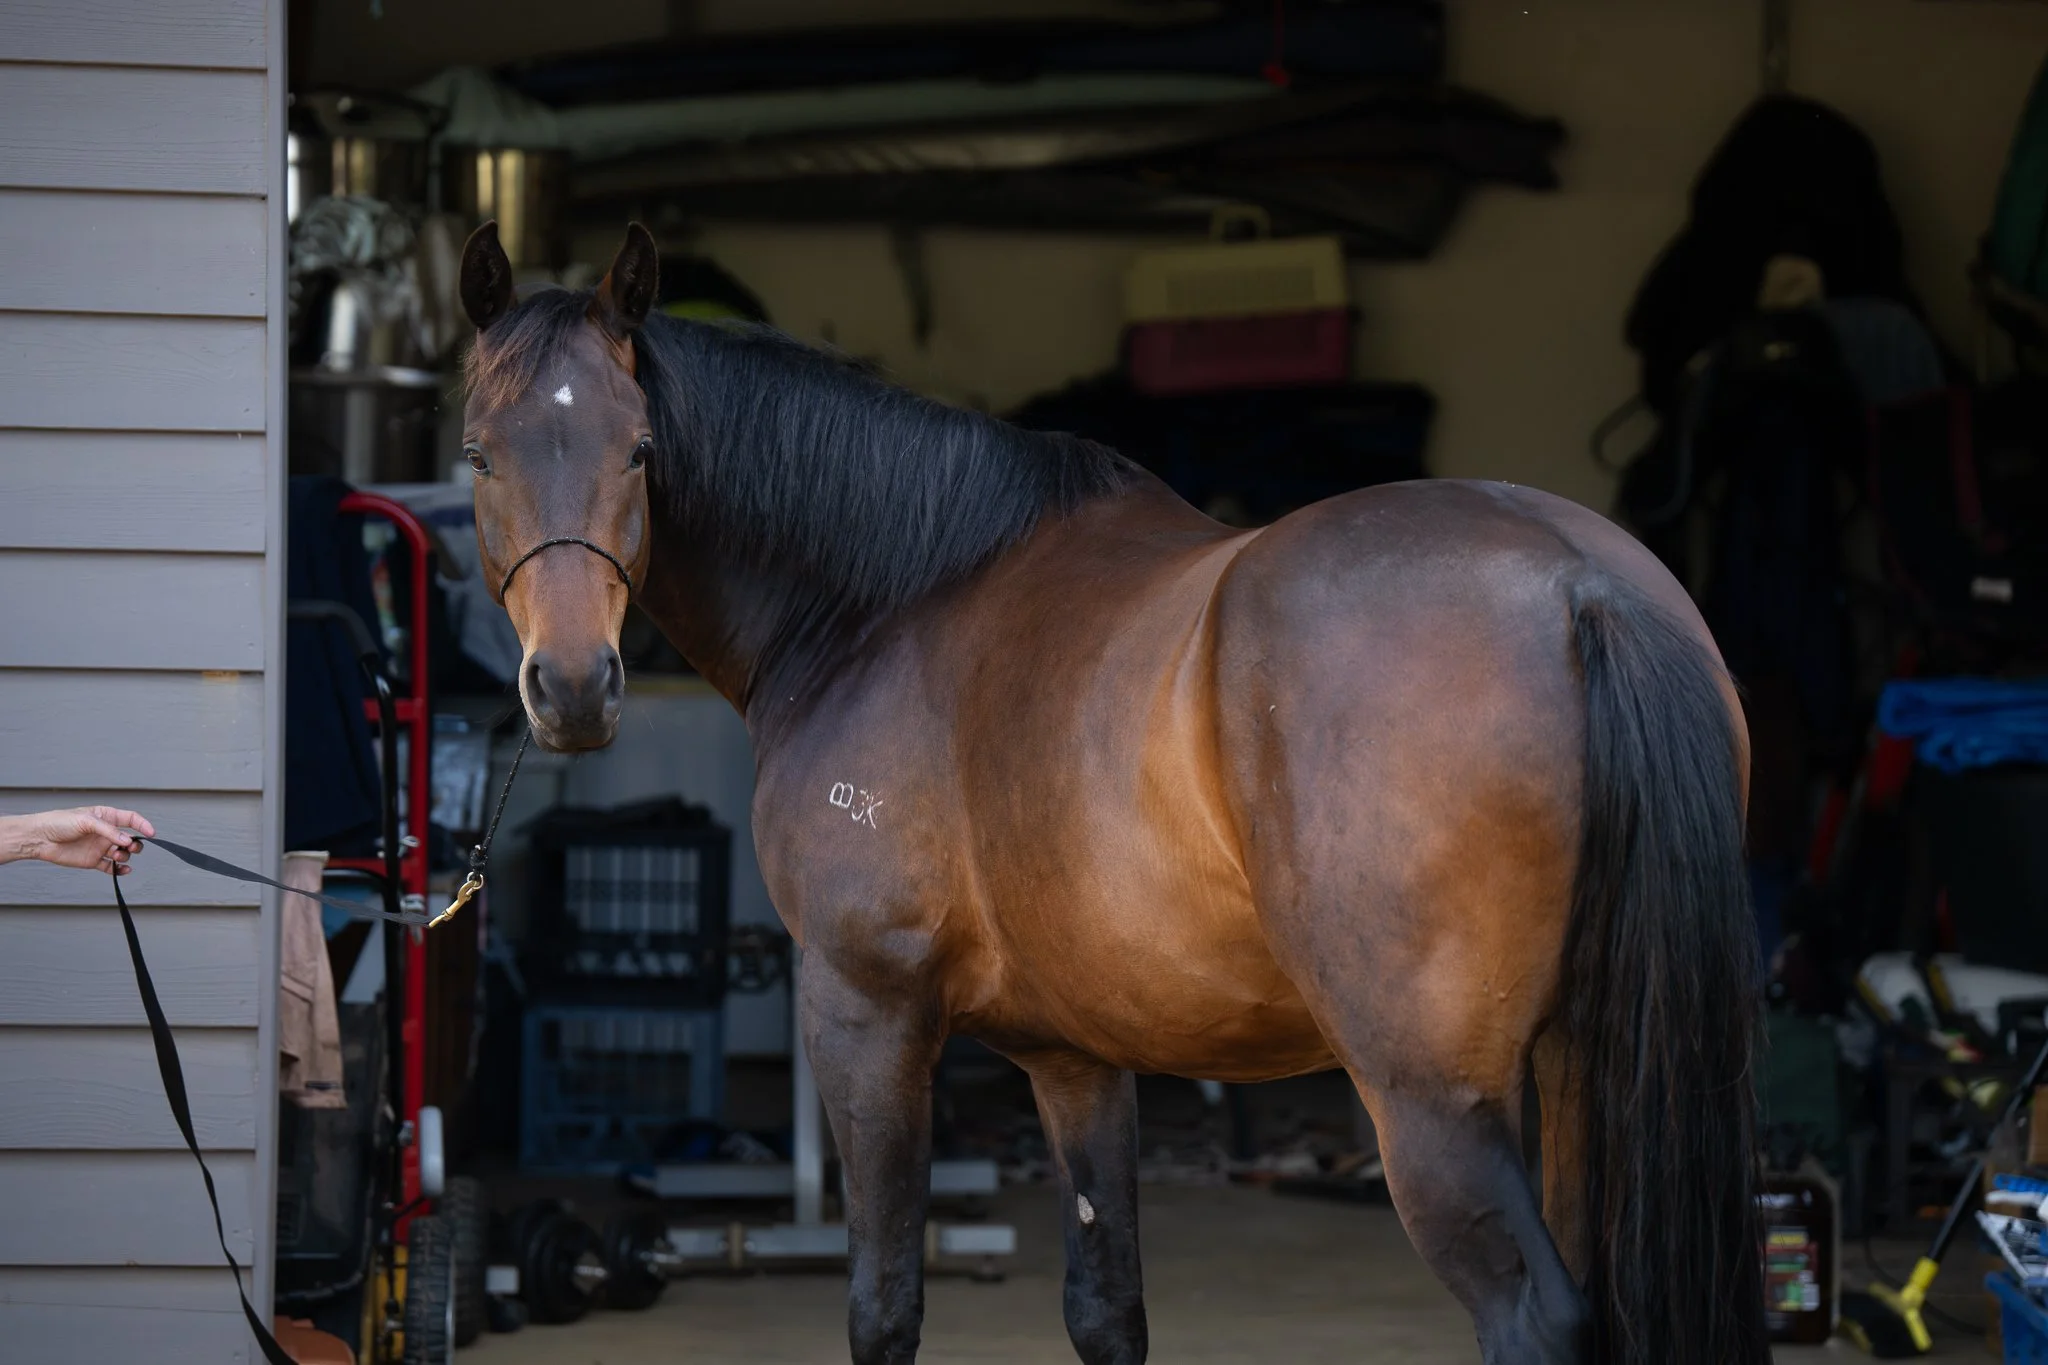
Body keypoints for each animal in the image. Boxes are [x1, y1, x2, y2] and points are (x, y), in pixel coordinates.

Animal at [456, 220, 1768, 1365]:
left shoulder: (865, 1013)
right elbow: (1106, 1310)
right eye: (477, 456)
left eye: (638, 453)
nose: (572, 688)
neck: (892, 601)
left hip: (1434, 1103)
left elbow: (883, 1306)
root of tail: (1578, 585)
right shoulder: (1075, 1055)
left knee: (1534, 1315)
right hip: (1590, 1071)